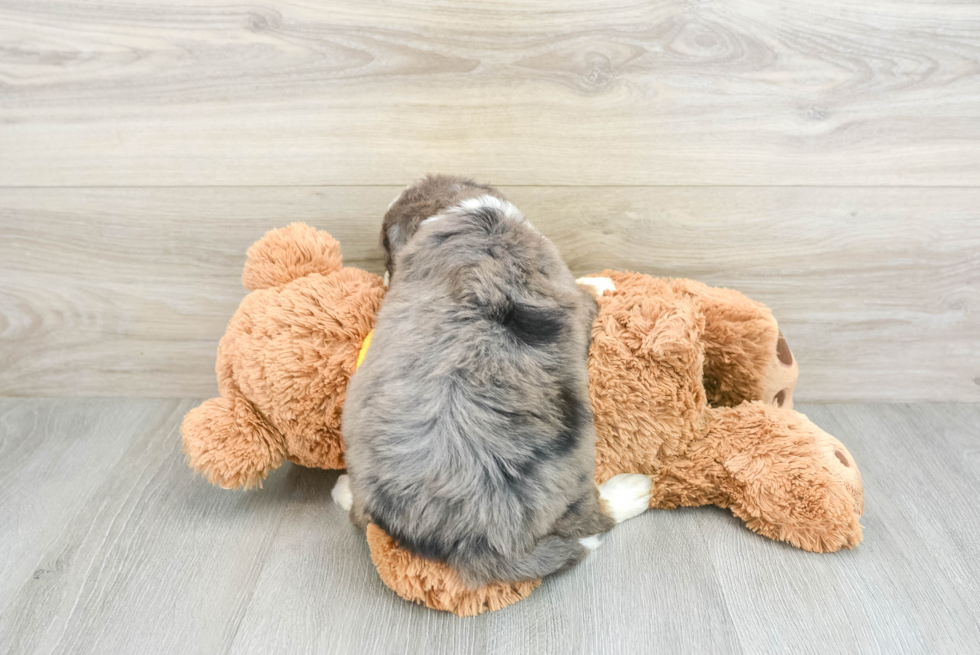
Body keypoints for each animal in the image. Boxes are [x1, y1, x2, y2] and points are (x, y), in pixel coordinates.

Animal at [336, 176, 652, 588]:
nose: (387, 276)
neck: (458, 208)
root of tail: (475, 542)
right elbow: (583, 289)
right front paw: (601, 281)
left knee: (361, 516)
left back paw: (342, 490)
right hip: (573, 472)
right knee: (592, 521)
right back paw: (632, 492)